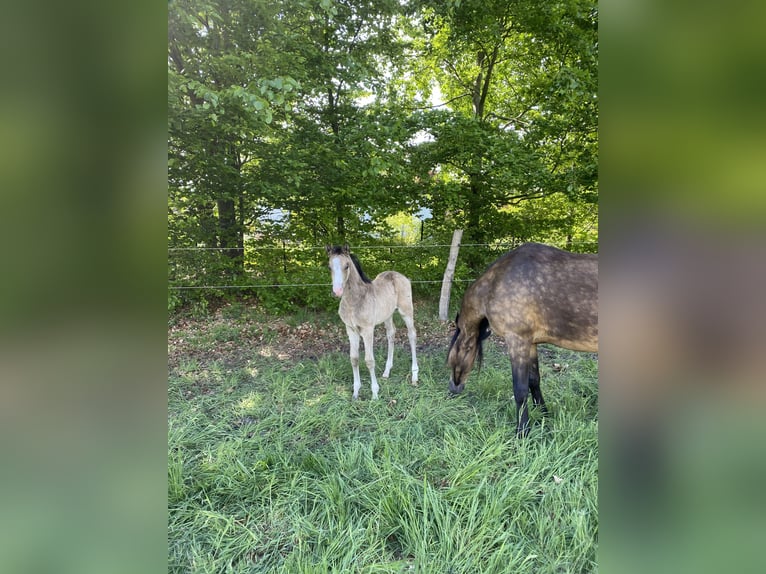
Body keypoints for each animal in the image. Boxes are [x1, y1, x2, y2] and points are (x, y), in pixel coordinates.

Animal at [326, 245, 419, 400]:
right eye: (329, 266)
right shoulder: (350, 329)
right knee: (391, 334)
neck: (353, 302)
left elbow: (369, 361)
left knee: (412, 335)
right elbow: (354, 358)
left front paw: (375, 394)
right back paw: (387, 372)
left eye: (347, 266)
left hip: (406, 311)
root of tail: (402, 276)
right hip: (387, 315)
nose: (337, 291)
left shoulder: (367, 330)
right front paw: (355, 392)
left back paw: (415, 376)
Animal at [447, 242, 598, 437]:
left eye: (459, 352)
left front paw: (522, 432)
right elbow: (534, 381)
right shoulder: (531, 343)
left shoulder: (517, 340)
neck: (496, 283)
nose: (453, 388)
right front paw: (544, 415)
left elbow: (520, 389)